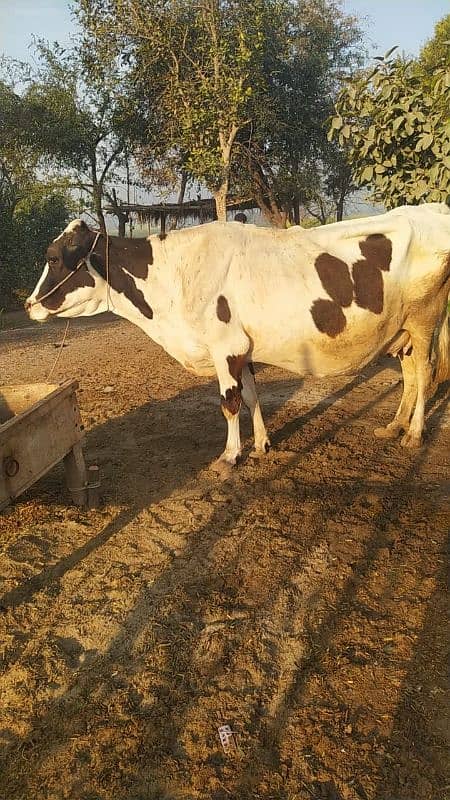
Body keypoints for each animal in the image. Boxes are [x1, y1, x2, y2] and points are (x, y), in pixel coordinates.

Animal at [25, 203, 450, 472]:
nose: (29, 304)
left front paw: (230, 456)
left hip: (425, 321)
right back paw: (393, 427)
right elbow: (250, 397)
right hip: (401, 330)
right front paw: (261, 444)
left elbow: (229, 404)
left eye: (53, 258)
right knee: (411, 376)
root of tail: (432, 209)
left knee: (425, 373)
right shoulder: (242, 349)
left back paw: (413, 434)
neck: (174, 277)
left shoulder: (225, 348)